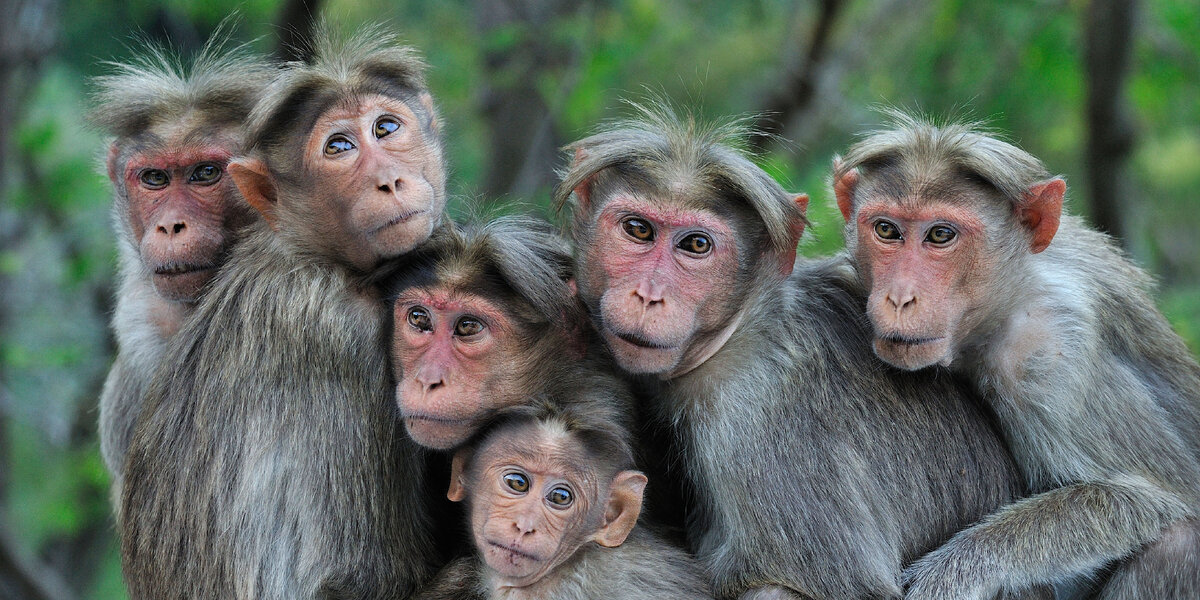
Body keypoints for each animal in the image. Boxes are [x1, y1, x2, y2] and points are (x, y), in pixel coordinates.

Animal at [119, 27, 448, 600]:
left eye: (386, 128)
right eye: (339, 147)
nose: (388, 179)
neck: (307, 253)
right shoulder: (345, 333)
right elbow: (361, 578)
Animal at [552, 103, 1051, 600]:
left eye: (696, 245)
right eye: (638, 230)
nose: (648, 295)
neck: (741, 331)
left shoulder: (754, 425)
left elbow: (848, 584)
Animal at [830, 112, 1200, 600]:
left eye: (940, 235)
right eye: (886, 230)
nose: (899, 297)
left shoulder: (1052, 357)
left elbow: (1154, 497)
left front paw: (945, 579)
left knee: (1178, 542)